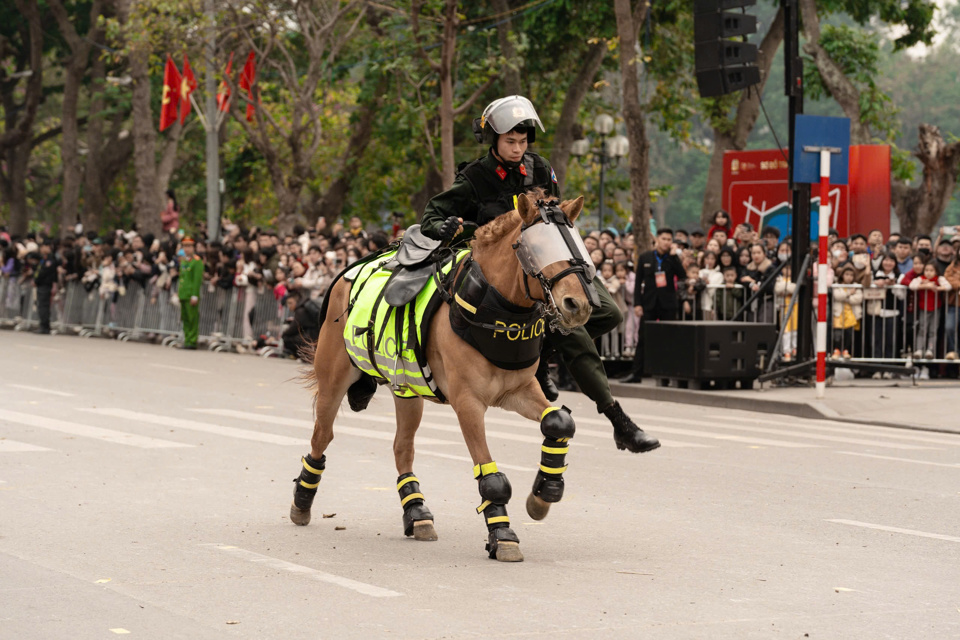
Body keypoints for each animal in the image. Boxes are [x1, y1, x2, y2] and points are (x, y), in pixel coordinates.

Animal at [288, 192, 596, 564]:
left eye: (578, 244)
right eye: (536, 247)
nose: (577, 304)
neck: (493, 308)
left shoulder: (518, 390)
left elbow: (558, 421)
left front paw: (544, 493)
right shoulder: (468, 403)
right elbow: (490, 475)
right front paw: (502, 534)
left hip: (407, 389)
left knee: (402, 447)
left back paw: (416, 512)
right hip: (334, 379)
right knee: (322, 436)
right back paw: (302, 501)